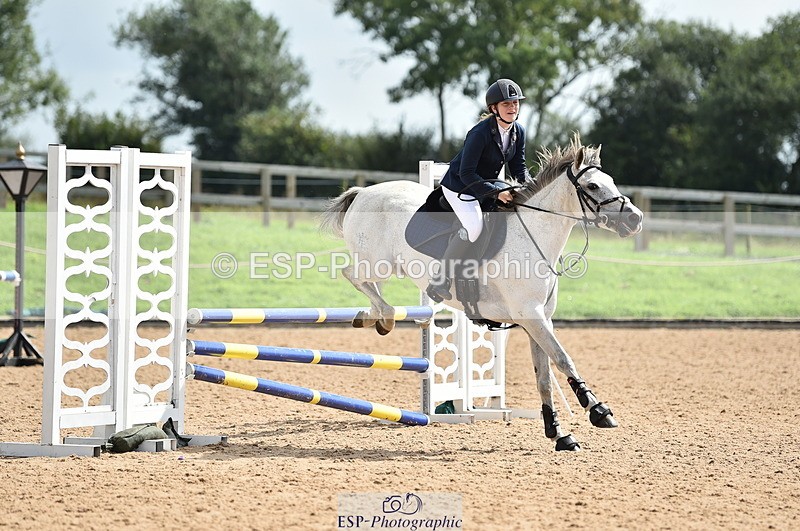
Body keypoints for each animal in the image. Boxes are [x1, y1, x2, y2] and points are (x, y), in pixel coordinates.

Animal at [320, 134, 644, 451]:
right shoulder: (531, 316)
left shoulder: (537, 320)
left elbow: (544, 376)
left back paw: (369, 316)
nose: (635, 219)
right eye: (592, 186)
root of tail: (363, 192)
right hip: (378, 264)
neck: (533, 236)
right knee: (352, 275)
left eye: (610, 181)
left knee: (368, 286)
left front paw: (558, 433)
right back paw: (385, 317)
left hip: (387, 267)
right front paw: (598, 410)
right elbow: (563, 359)